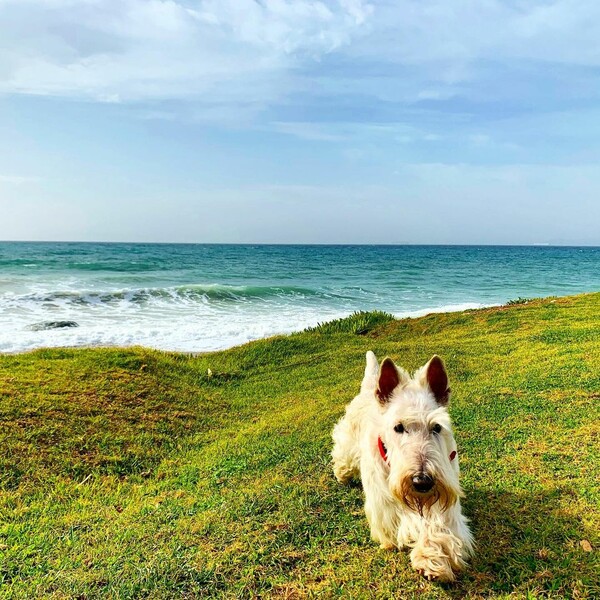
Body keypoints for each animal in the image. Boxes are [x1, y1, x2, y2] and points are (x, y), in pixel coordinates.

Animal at [332, 352, 474, 580]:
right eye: (398, 427)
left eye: (436, 427)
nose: (422, 481)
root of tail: (371, 384)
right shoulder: (385, 502)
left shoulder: (443, 500)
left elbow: (437, 525)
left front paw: (431, 557)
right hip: (348, 441)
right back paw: (341, 474)